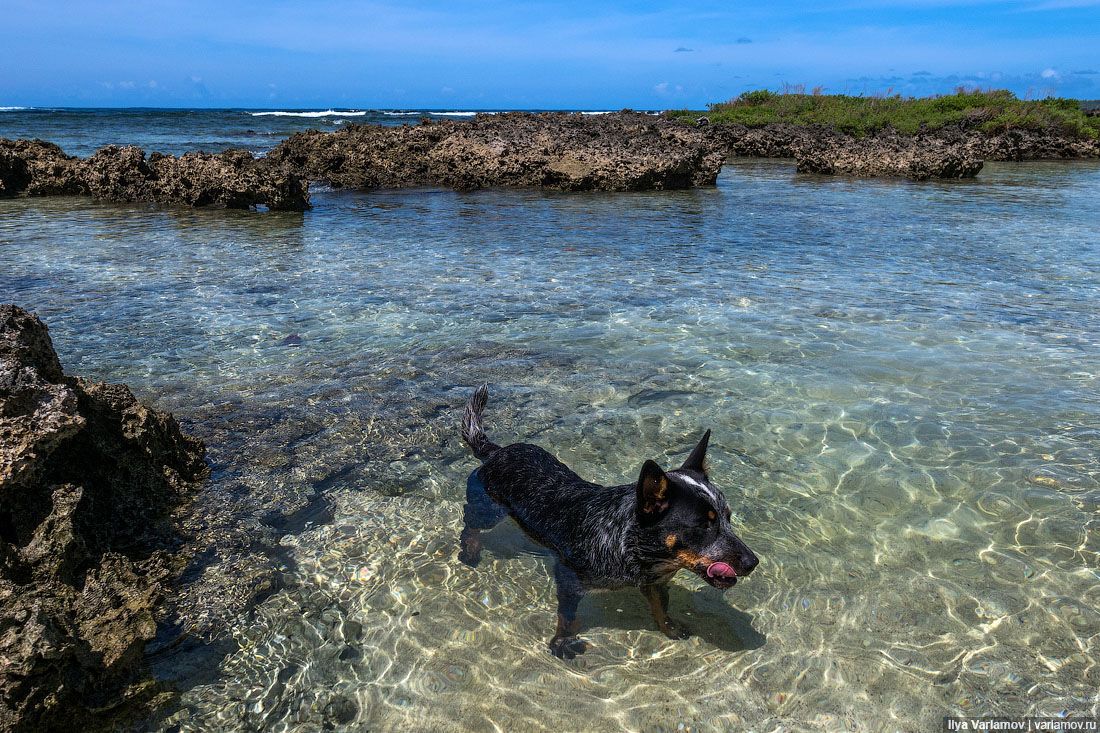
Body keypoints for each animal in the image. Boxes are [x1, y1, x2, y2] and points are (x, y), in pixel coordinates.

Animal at [455, 383, 756, 655]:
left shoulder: (655, 583)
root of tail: (496, 451)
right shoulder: (569, 579)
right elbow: (567, 617)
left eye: (728, 517)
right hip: (490, 508)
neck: (633, 548)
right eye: (704, 525)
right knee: (470, 521)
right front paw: (562, 642)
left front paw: (668, 627)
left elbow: (661, 607)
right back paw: (470, 549)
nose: (753, 562)